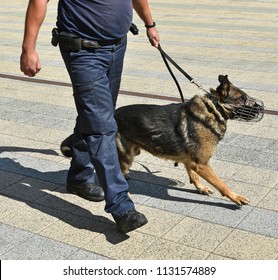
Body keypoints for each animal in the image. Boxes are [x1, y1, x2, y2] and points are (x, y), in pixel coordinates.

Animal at [59, 75, 264, 207]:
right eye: (243, 98)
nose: (262, 107)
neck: (213, 108)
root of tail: (111, 117)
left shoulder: (191, 161)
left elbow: (193, 175)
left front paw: (200, 187)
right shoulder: (202, 164)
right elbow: (221, 184)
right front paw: (235, 197)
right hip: (127, 156)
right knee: (113, 172)